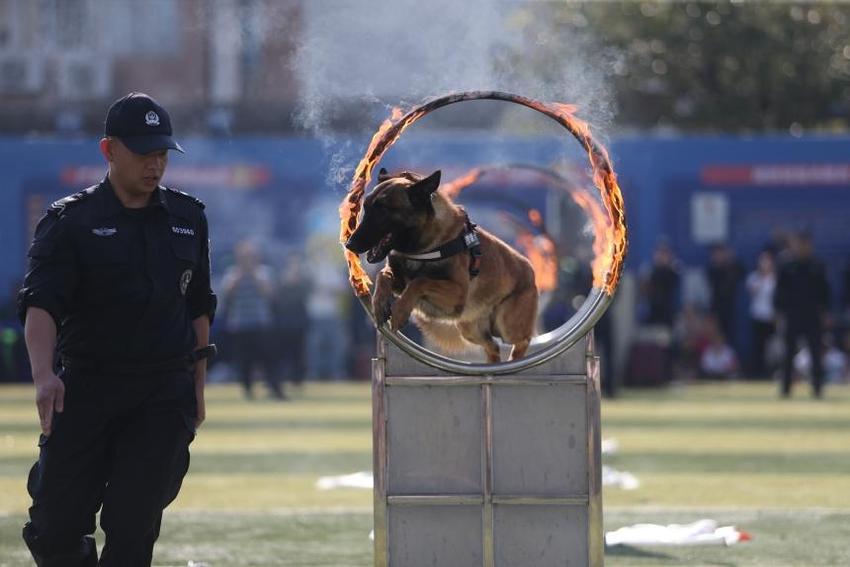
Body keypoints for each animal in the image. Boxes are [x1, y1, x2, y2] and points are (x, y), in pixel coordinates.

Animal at [344, 170, 536, 364]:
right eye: (366, 207)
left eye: (383, 209)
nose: (349, 244)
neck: (423, 247)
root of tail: (531, 272)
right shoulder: (399, 282)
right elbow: (383, 276)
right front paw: (379, 304)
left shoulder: (457, 293)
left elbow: (420, 281)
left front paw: (399, 311)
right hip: (469, 328)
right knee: (493, 346)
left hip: (507, 325)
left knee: (523, 339)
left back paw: (515, 358)